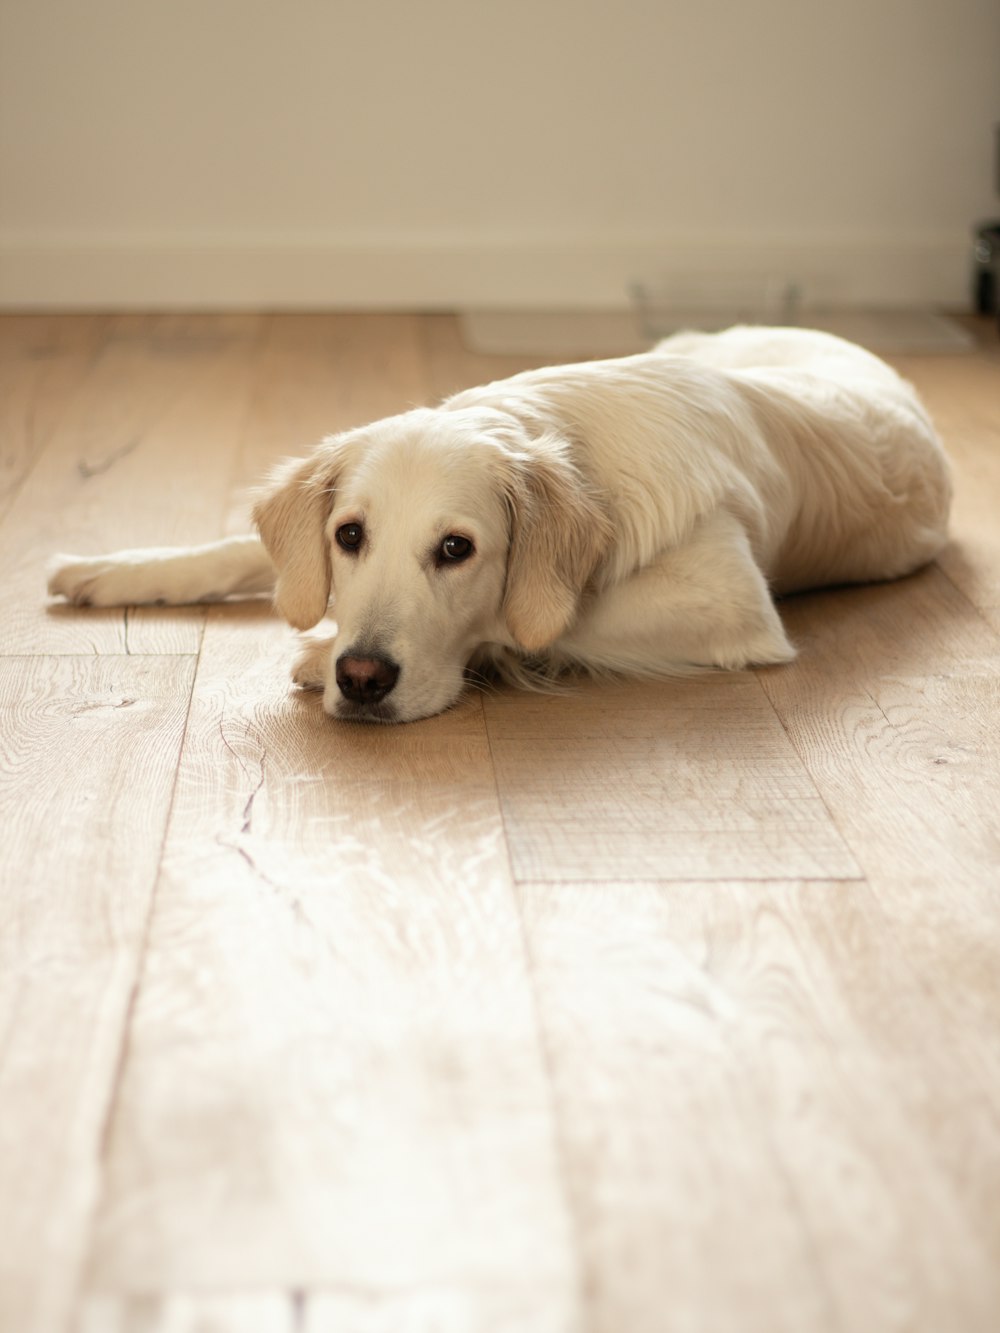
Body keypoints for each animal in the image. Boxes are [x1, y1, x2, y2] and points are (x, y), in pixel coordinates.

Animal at [49, 323, 954, 725]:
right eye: (349, 536)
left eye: (457, 549)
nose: (362, 677)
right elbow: (249, 552)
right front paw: (117, 568)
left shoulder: (729, 599)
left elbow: (539, 618)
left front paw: (315, 651)